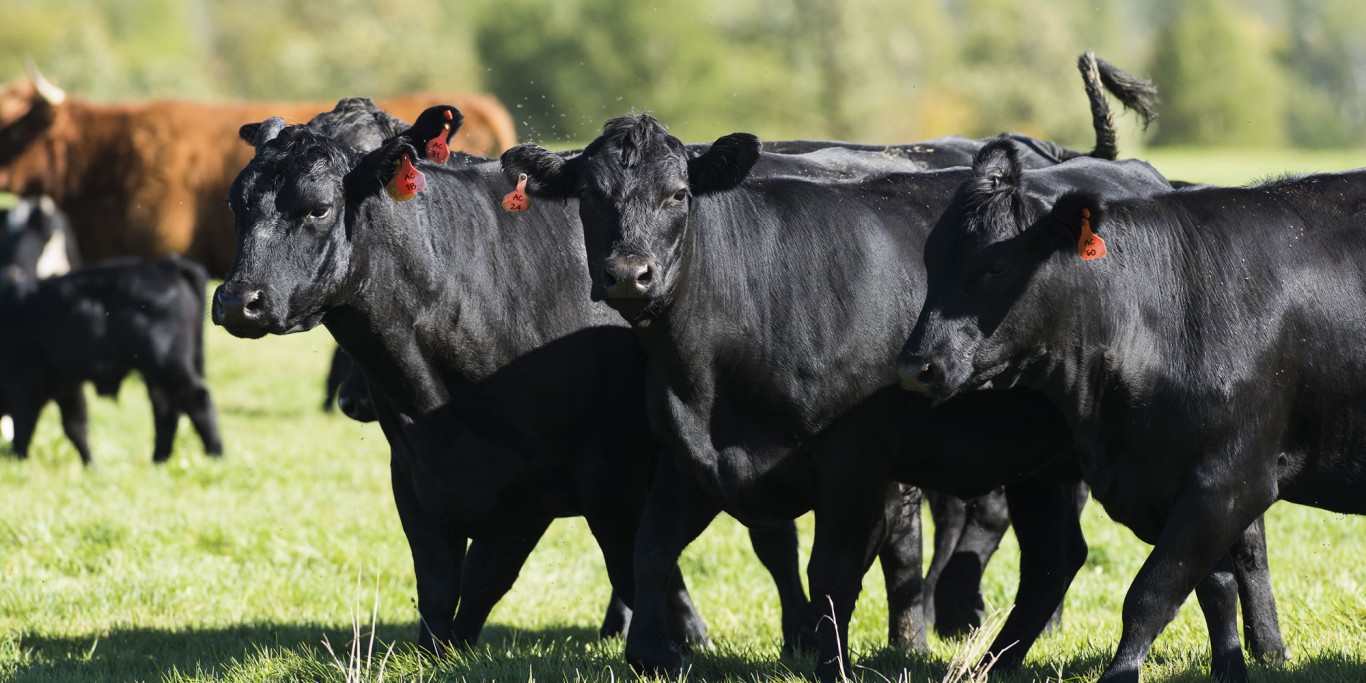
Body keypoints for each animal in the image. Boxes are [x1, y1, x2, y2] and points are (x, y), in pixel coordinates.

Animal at [0, 255, 221, 465]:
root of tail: (167, 265)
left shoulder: (27, 386)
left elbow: (25, 428)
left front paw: (18, 460)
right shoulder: (66, 386)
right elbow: (75, 426)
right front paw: (91, 466)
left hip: (168, 364)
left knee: (197, 400)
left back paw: (215, 454)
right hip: (154, 373)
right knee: (166, 409)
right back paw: (159, 459)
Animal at [210, 108, 813, 656]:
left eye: (318, 207)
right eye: (236, 204)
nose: (238, 300)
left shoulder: (576, 479)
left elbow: (501, 576)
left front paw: (681, 641)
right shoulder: (413, 475)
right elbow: (439, 590)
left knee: (771, 541)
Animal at [893, 139, 1366, 682]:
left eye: (996, 266)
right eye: (930, 261)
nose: (913, 367)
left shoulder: (1231, 481)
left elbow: (1150, 594)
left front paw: (1120, 674)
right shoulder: (1169, 483)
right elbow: (1214, 588)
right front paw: (1229, 669)